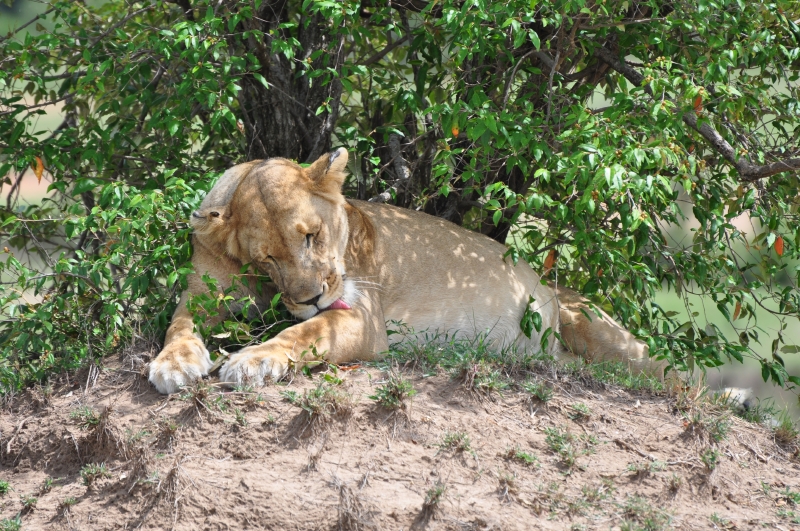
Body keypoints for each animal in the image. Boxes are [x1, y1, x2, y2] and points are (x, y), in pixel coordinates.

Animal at [148, 148, 664, 394]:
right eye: (268, 259)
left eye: (312, 235)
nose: (312, 298)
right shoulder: (203, 290)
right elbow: (179, 324)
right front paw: (173, 363)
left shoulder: (362, 316)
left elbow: (303, 334)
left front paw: (254, 359)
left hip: (600, 329)